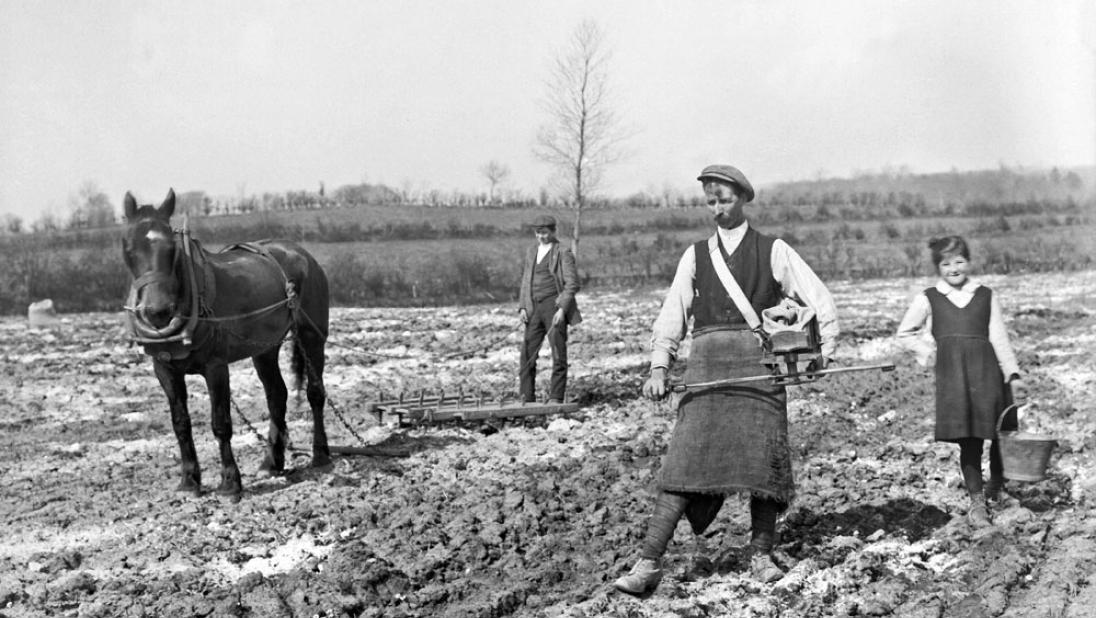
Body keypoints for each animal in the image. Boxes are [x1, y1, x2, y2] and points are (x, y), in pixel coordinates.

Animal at [122, 188, 328, 497]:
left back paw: (320, 454)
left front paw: (230, 481)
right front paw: (189, 480)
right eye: (128, 247)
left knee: (315, 393)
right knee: (276, 396)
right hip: (264, 348)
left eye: (171, 248)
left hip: (312, 336)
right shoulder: (165, 370)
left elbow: (221, 423)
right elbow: (180, 423)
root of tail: (301, 254)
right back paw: (271, 462)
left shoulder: (216, 367)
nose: (157, 311)